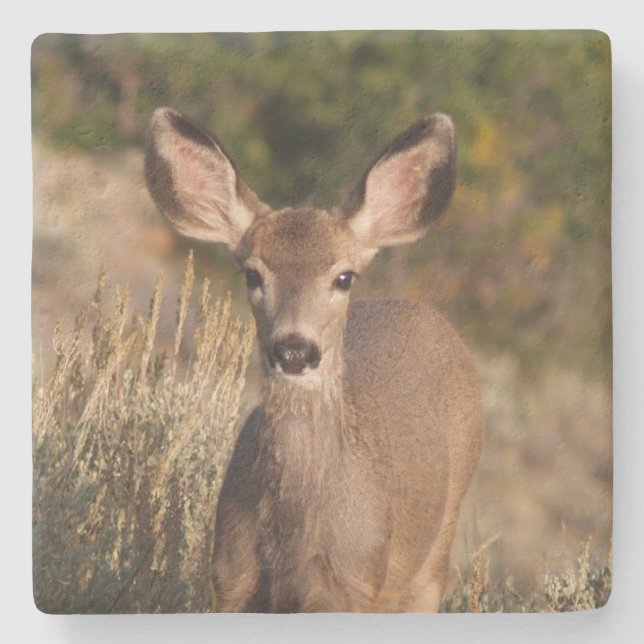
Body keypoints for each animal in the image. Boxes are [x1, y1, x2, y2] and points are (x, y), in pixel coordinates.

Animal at [145, 107, 484, 613]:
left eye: (344, 277)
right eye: (252, 273)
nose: (293, 349)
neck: (293, 539)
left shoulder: (353, 584)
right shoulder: (230, 578)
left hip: (439, 540)